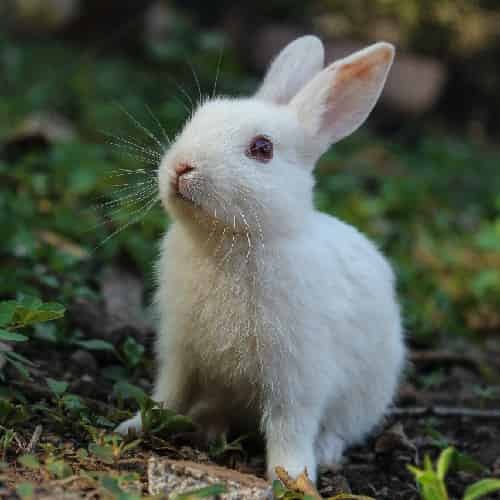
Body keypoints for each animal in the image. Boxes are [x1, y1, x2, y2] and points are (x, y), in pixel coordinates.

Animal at [117, 34, 406, 480]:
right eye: (197, 118)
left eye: (262, 149)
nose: (182, 167)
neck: (231, 240)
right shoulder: (180, 352)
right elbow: (168, 394)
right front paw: (134, 426)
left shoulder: (297, 375)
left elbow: (290, 427)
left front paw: (293, 478)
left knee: (339, 429)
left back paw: (325, 452)